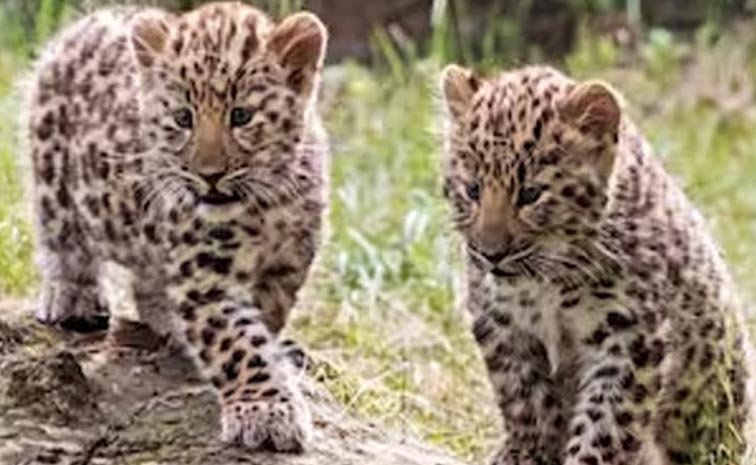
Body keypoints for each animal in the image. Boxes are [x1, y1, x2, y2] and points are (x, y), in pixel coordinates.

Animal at [24, 1, 328, 452]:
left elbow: (262, 323)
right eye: (183, 118)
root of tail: (89, 22)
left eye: (242, 116)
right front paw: (267, 410)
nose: (209, 175)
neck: (265, 205)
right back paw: (72, 296)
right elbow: (238, 344)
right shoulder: (206, 279)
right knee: (61, 234)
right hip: (52, 167)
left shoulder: (285, 268)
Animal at [438, 64, 754, 465]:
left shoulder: (628, 337)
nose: (490, 252)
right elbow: (526, 402)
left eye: (530, 194)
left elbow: (607, 423)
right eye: (472, 190)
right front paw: (525, 452)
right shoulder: (503, 326)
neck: (544, 281)